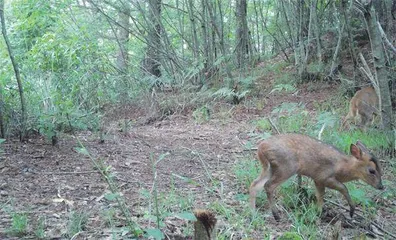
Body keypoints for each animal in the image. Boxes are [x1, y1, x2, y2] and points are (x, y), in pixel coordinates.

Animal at [251, 133, 384, 221]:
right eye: (372, 170)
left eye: (380, 168)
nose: (381, 186)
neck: (342, 167)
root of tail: (261, 147)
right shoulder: (324, 177)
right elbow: (343, 188)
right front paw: (351, 210)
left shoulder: (317, 180)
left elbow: (320, 196)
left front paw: (318, 213)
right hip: (286, 167)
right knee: (268, 185)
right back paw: (276, 215)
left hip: (269, 167)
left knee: (255, 184)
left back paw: (252, 212)